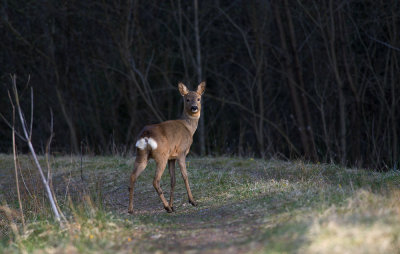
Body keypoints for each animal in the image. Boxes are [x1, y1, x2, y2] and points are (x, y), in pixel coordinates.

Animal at [129, 81, 206, 212]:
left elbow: (173, 180)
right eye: (187, 99)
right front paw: (192, 201)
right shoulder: (181, 152)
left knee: (132, 177)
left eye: (199, 98)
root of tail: (146, 135)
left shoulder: (172, 158)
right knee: (155, 181)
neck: (189, 128)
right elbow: (185, 176)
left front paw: (173, 205)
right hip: (161, 156)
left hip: (141, 154)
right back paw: (166, 208)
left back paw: (131, 210)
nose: (194, 107)